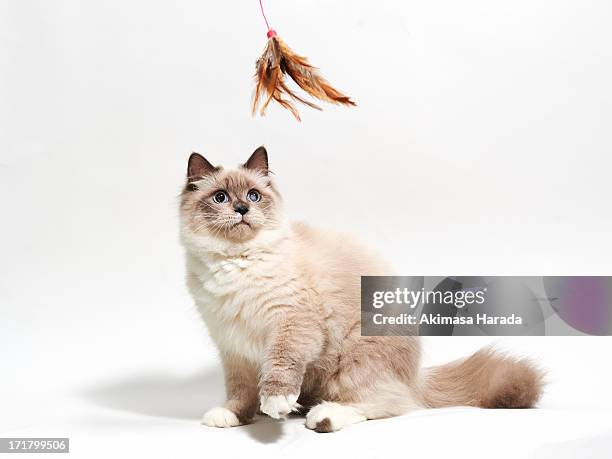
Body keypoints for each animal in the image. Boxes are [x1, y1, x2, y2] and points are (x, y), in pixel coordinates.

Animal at [179, 148, 544, 434]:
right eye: (221, 197)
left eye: (253, 196)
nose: (242, 209)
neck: (236, 262)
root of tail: (415, 377)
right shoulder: (232, 346)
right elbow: (240, 390)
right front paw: (232, 415)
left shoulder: (291, 325)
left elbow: (280, 368)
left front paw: (276, 403)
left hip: (354, 359)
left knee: (389, 403)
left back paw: (323, 416)